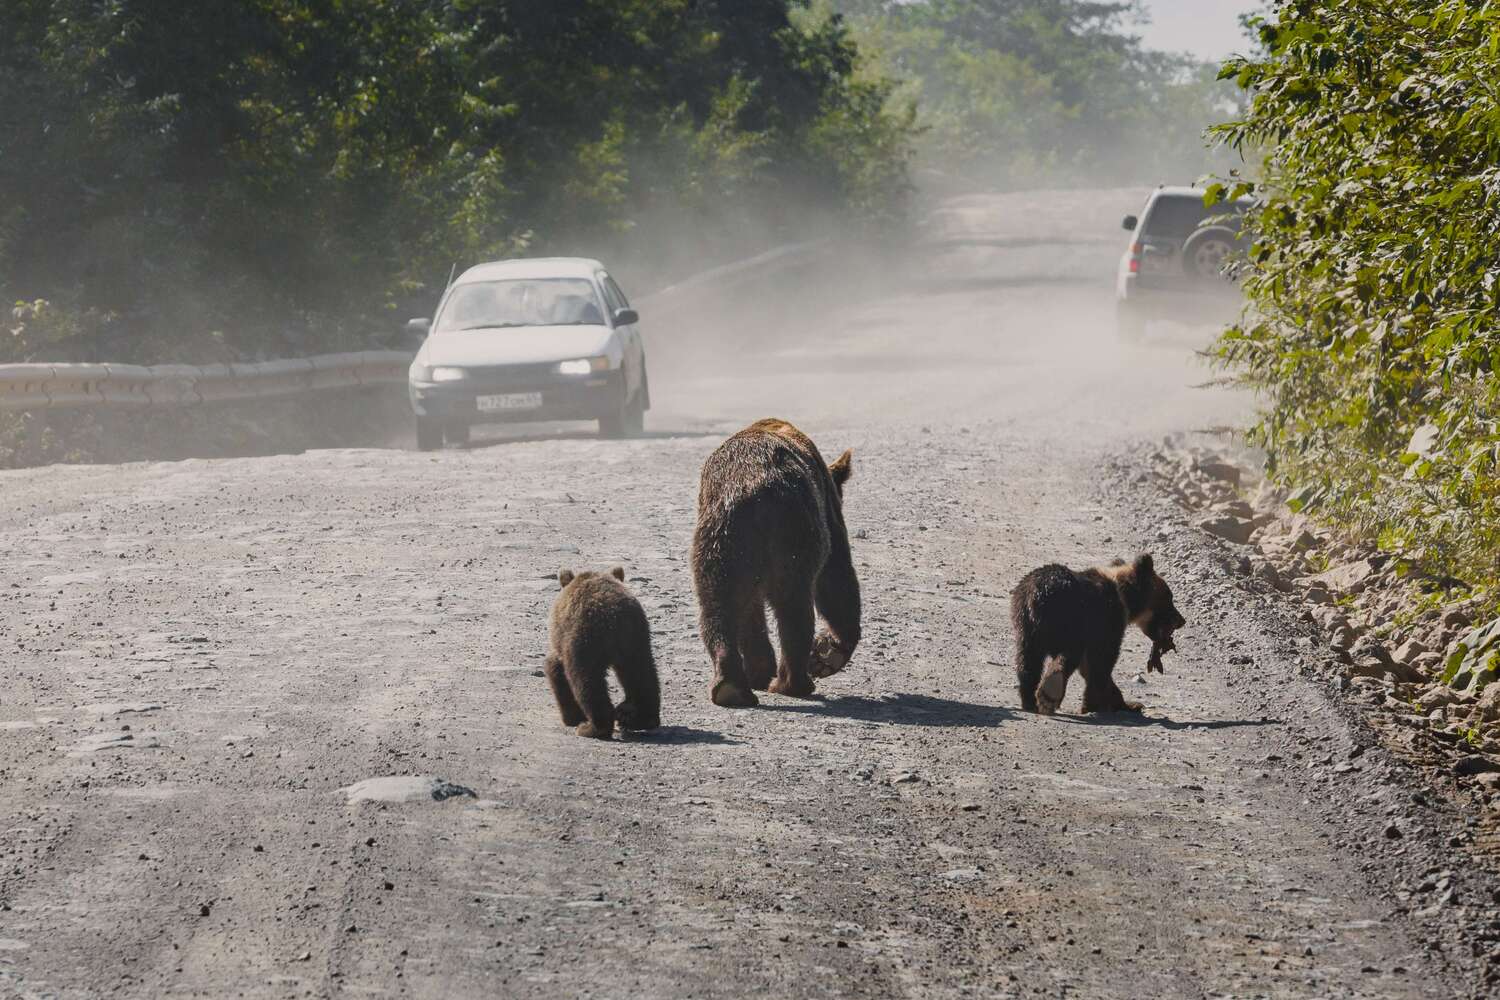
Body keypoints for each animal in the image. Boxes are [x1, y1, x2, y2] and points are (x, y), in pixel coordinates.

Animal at [545, 567, 661, 739]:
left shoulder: (563, 639)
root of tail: (614, 616)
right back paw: (642, 718)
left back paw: (592, 727)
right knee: (643, 675)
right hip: (636, 641)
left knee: (587, 681)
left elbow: (556, 669)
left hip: (586, 641)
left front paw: (572, 718)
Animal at [691, 418, 861, 708]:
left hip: (725, 537)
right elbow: (836, 573)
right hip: (786, 535)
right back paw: (789, 683)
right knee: (790, 605)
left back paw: (734, 686)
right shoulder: (827, 507)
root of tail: (755, 489)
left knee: (719, 602)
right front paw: (828, 651)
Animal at [1010, 553, 1185, 715]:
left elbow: (1090, 666)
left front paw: (1129, 704)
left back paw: (1029, 701)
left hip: (1025, 625)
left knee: (1027, 661)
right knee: (1068, 654)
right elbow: (1101, 661)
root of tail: (1039, 595)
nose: (1181, 620)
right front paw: (1093, 705)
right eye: (1169, 598)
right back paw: (1050, 693)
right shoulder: (1107, 620)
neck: (1125, 597)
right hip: (1071, 620)